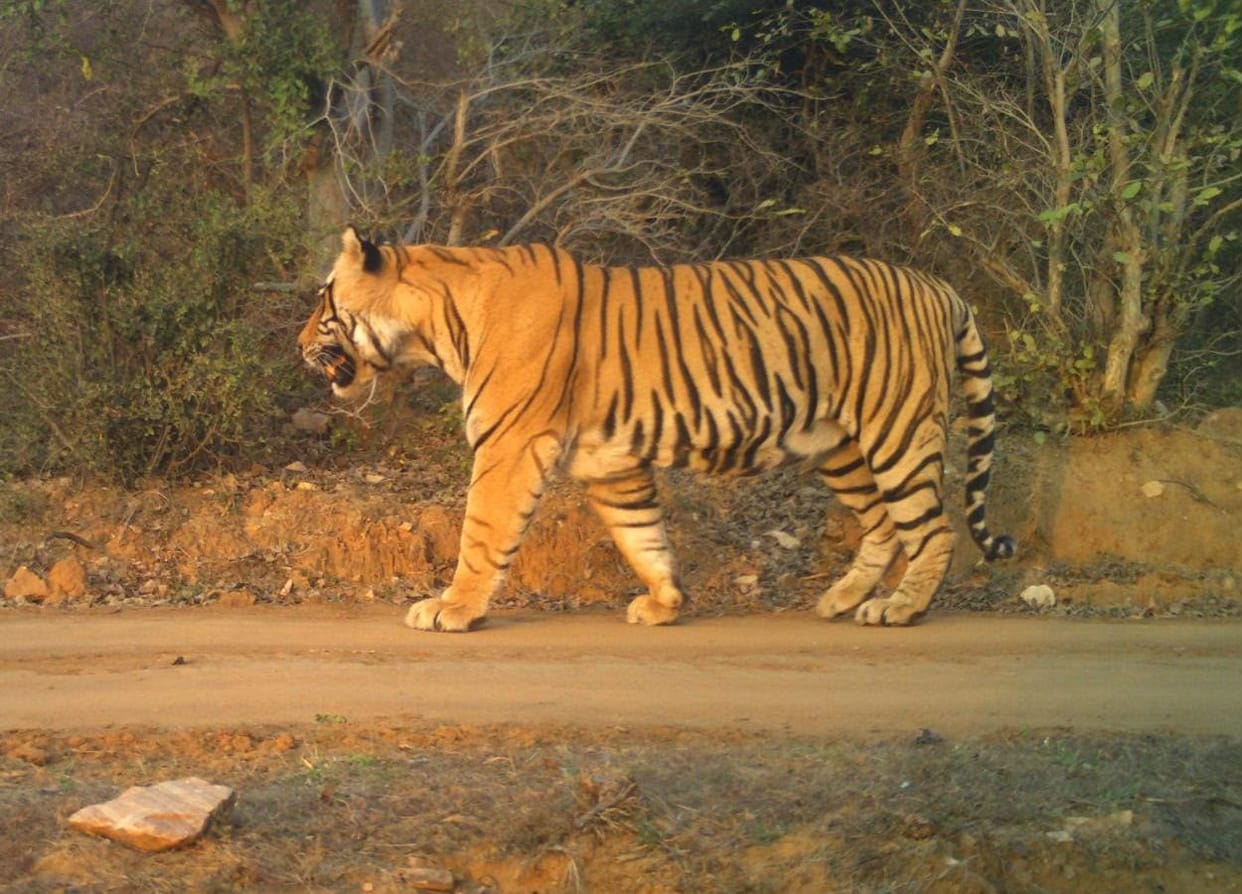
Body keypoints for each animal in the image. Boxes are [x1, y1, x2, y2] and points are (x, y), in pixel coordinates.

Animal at [299, 226, 1014, 632]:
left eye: (324, 298)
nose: (299, 342)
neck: (436, 325)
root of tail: (942, 288)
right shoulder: (608, 460)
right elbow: (642, 535)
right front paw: (666, 603)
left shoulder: (508, 446)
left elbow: (482, 533)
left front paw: (452, 608)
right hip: (838, 445)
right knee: (886, 524)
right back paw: (843, 599)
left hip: (897, 431)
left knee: (935, 528)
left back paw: (900, 609)